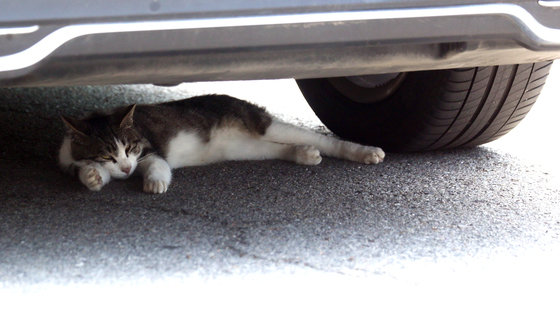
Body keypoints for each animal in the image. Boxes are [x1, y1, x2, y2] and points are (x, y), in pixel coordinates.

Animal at [60, 93, 384, 192]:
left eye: (130, 148)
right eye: (108, 156)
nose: (128, 169)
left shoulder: (151, 151)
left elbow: (157, 166)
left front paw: (155, 183)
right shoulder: (69, 160)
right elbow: (87, 170)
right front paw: (92, 176)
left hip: (262, 124)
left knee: (321, 139)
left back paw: (367, 152)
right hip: (244, 148)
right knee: (277, 149)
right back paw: (304, 154)